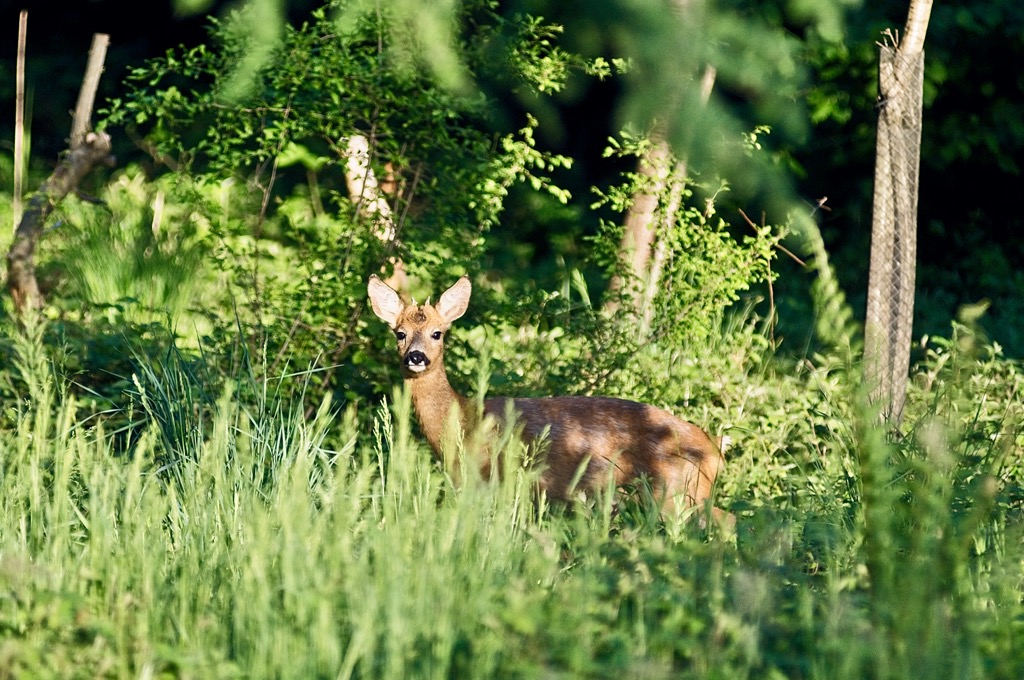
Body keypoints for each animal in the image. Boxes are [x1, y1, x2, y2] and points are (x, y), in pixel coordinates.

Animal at [367, 273, 732, 528]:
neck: (464, 420)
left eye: (437, 333)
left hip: (675, 491)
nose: (416, 357)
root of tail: (715, 451)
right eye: (400, 333)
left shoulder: (495, 480)